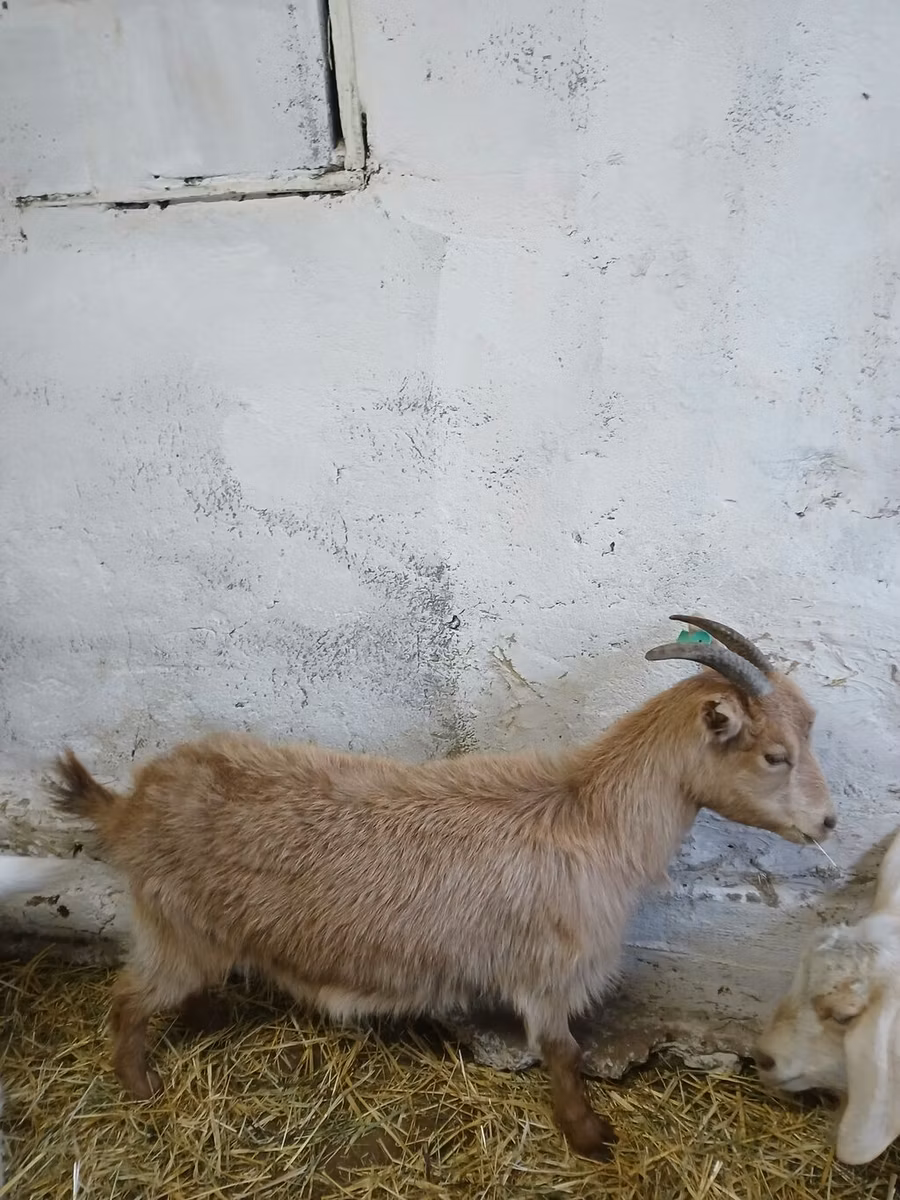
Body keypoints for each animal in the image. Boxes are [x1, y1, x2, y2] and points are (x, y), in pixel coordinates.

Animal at [49, 615, 834, 1161]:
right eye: (775, 755)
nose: (827, 821)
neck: (590, 816)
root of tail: (129, 806)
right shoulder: (549, 972)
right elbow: (563, 1054)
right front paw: (589, 1138)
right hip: (175, 930)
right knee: (127, 998)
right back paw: (141, 1086)